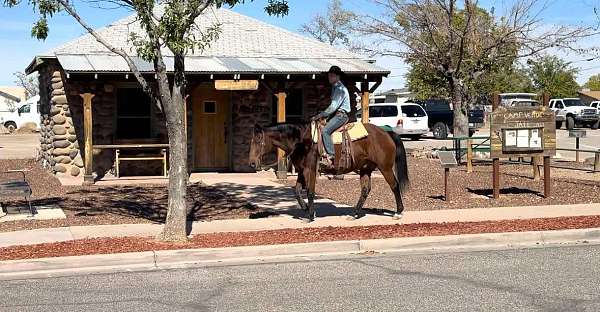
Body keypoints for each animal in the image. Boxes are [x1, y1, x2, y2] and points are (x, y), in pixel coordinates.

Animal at [247, 120, 408, 223]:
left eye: (258, 140)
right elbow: (297, 191)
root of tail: (386, 132)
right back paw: (355, 214)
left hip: (385, 167)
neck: (302, 142)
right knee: (365, 190)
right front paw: (306, 208)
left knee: (394, 186)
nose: (252, 163)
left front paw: (310, 216)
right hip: (365, 169)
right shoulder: (301, 171)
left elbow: (310, 192)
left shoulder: (310, 170)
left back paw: (398, 212)